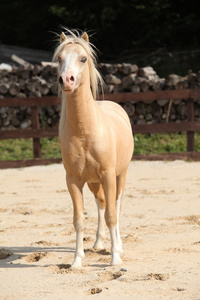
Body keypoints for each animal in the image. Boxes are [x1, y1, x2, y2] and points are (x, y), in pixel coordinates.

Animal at [54, 28, 134, 268]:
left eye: (83, 58)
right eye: (59, 59)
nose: (66, 80)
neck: (84, 132)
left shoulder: (108, 175)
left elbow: (111, 215)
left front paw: (115, 258)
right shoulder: (73, 181)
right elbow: (79, 219)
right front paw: (76, 261)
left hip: (120, 175)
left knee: (115, 205)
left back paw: (118, 245)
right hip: (92, 182)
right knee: (101, 204)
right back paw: (99, 243)